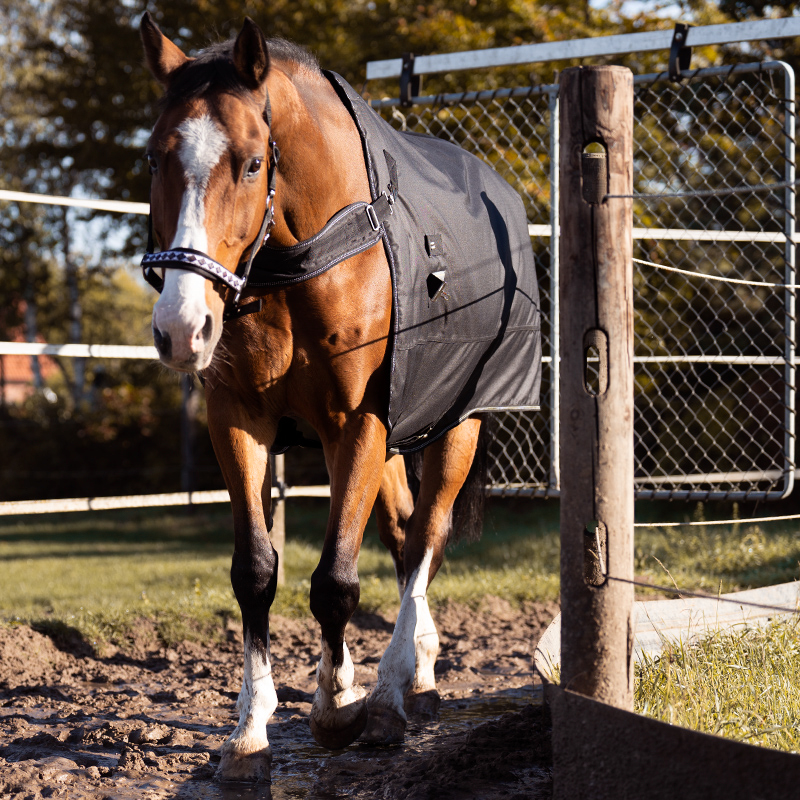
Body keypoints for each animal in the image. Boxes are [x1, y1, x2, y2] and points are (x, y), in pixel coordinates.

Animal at [138, 10, 540, 780]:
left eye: (253, 163)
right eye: (153, 159)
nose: (181, 327)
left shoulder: (357, 423)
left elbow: (335, 581)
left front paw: (335, 707)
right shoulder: (239, 421)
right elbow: (256, 572)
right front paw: (249, 734)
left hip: (457, 425)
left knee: (427, 537)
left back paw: (391, 695)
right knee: (403, 532)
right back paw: (417, 676)